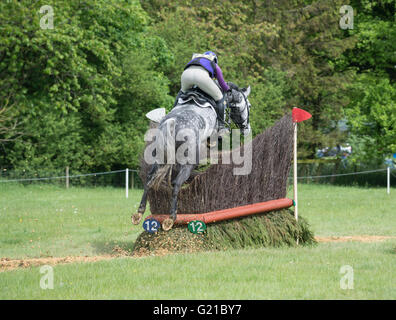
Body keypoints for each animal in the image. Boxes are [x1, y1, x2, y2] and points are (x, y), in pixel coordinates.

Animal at [131, 85, 252, 230]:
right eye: (249, 106)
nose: (246, 129)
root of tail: (172, 123)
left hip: (159, 159)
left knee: (150, 179)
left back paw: (139, 213)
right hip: (187, 163)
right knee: (177, 183)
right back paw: (171, 218)